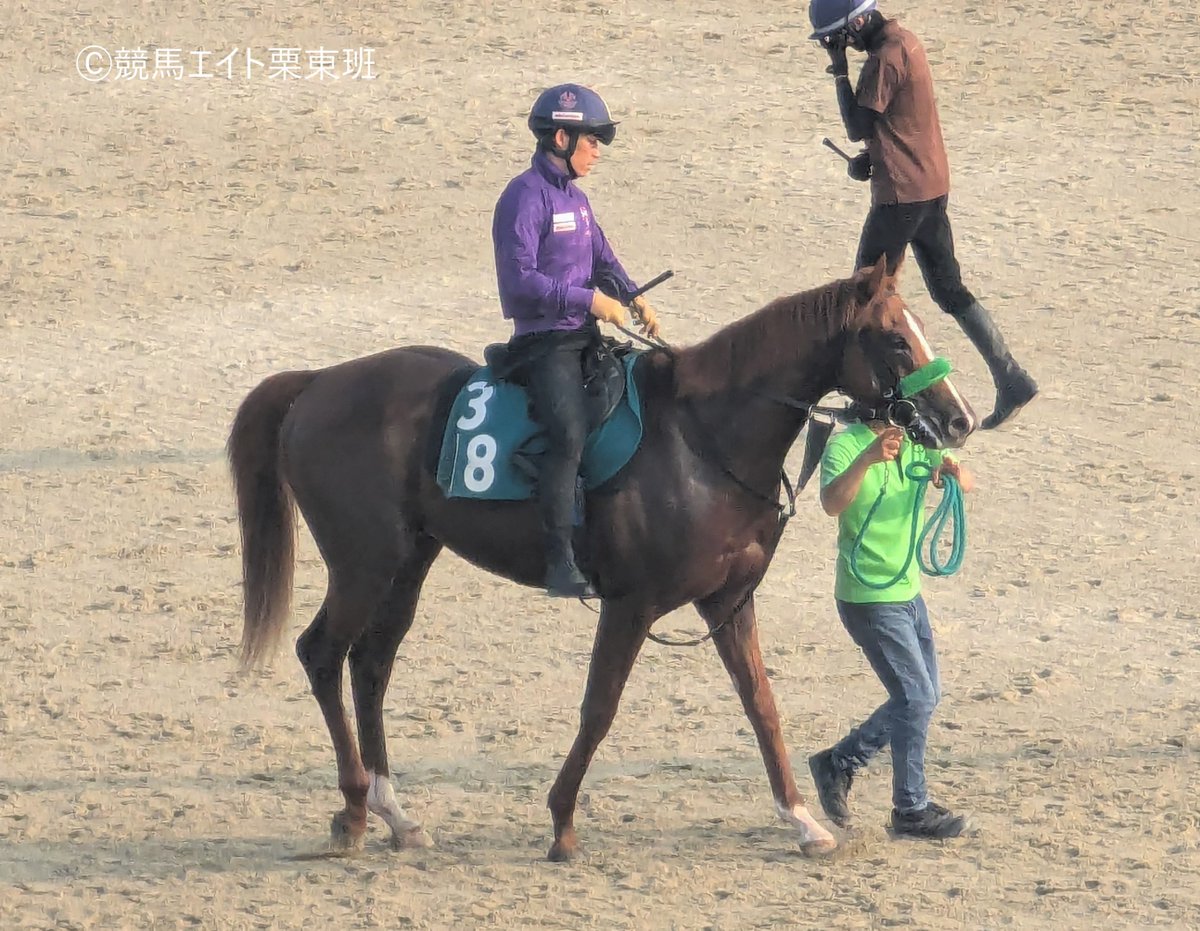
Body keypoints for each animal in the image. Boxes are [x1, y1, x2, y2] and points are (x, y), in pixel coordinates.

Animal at [227, 257, 976, 860]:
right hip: (363, 563)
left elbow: (762, 704)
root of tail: (318, 382)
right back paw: (354, 810)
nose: (960, 418)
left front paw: (802, 820)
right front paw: (562, 822)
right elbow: (600, 707)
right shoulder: (630, 604)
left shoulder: (728, 600)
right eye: (895, 337)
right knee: (323, 653)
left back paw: (395, 813)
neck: (702, 438)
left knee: (371, 664)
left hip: (409, 561)